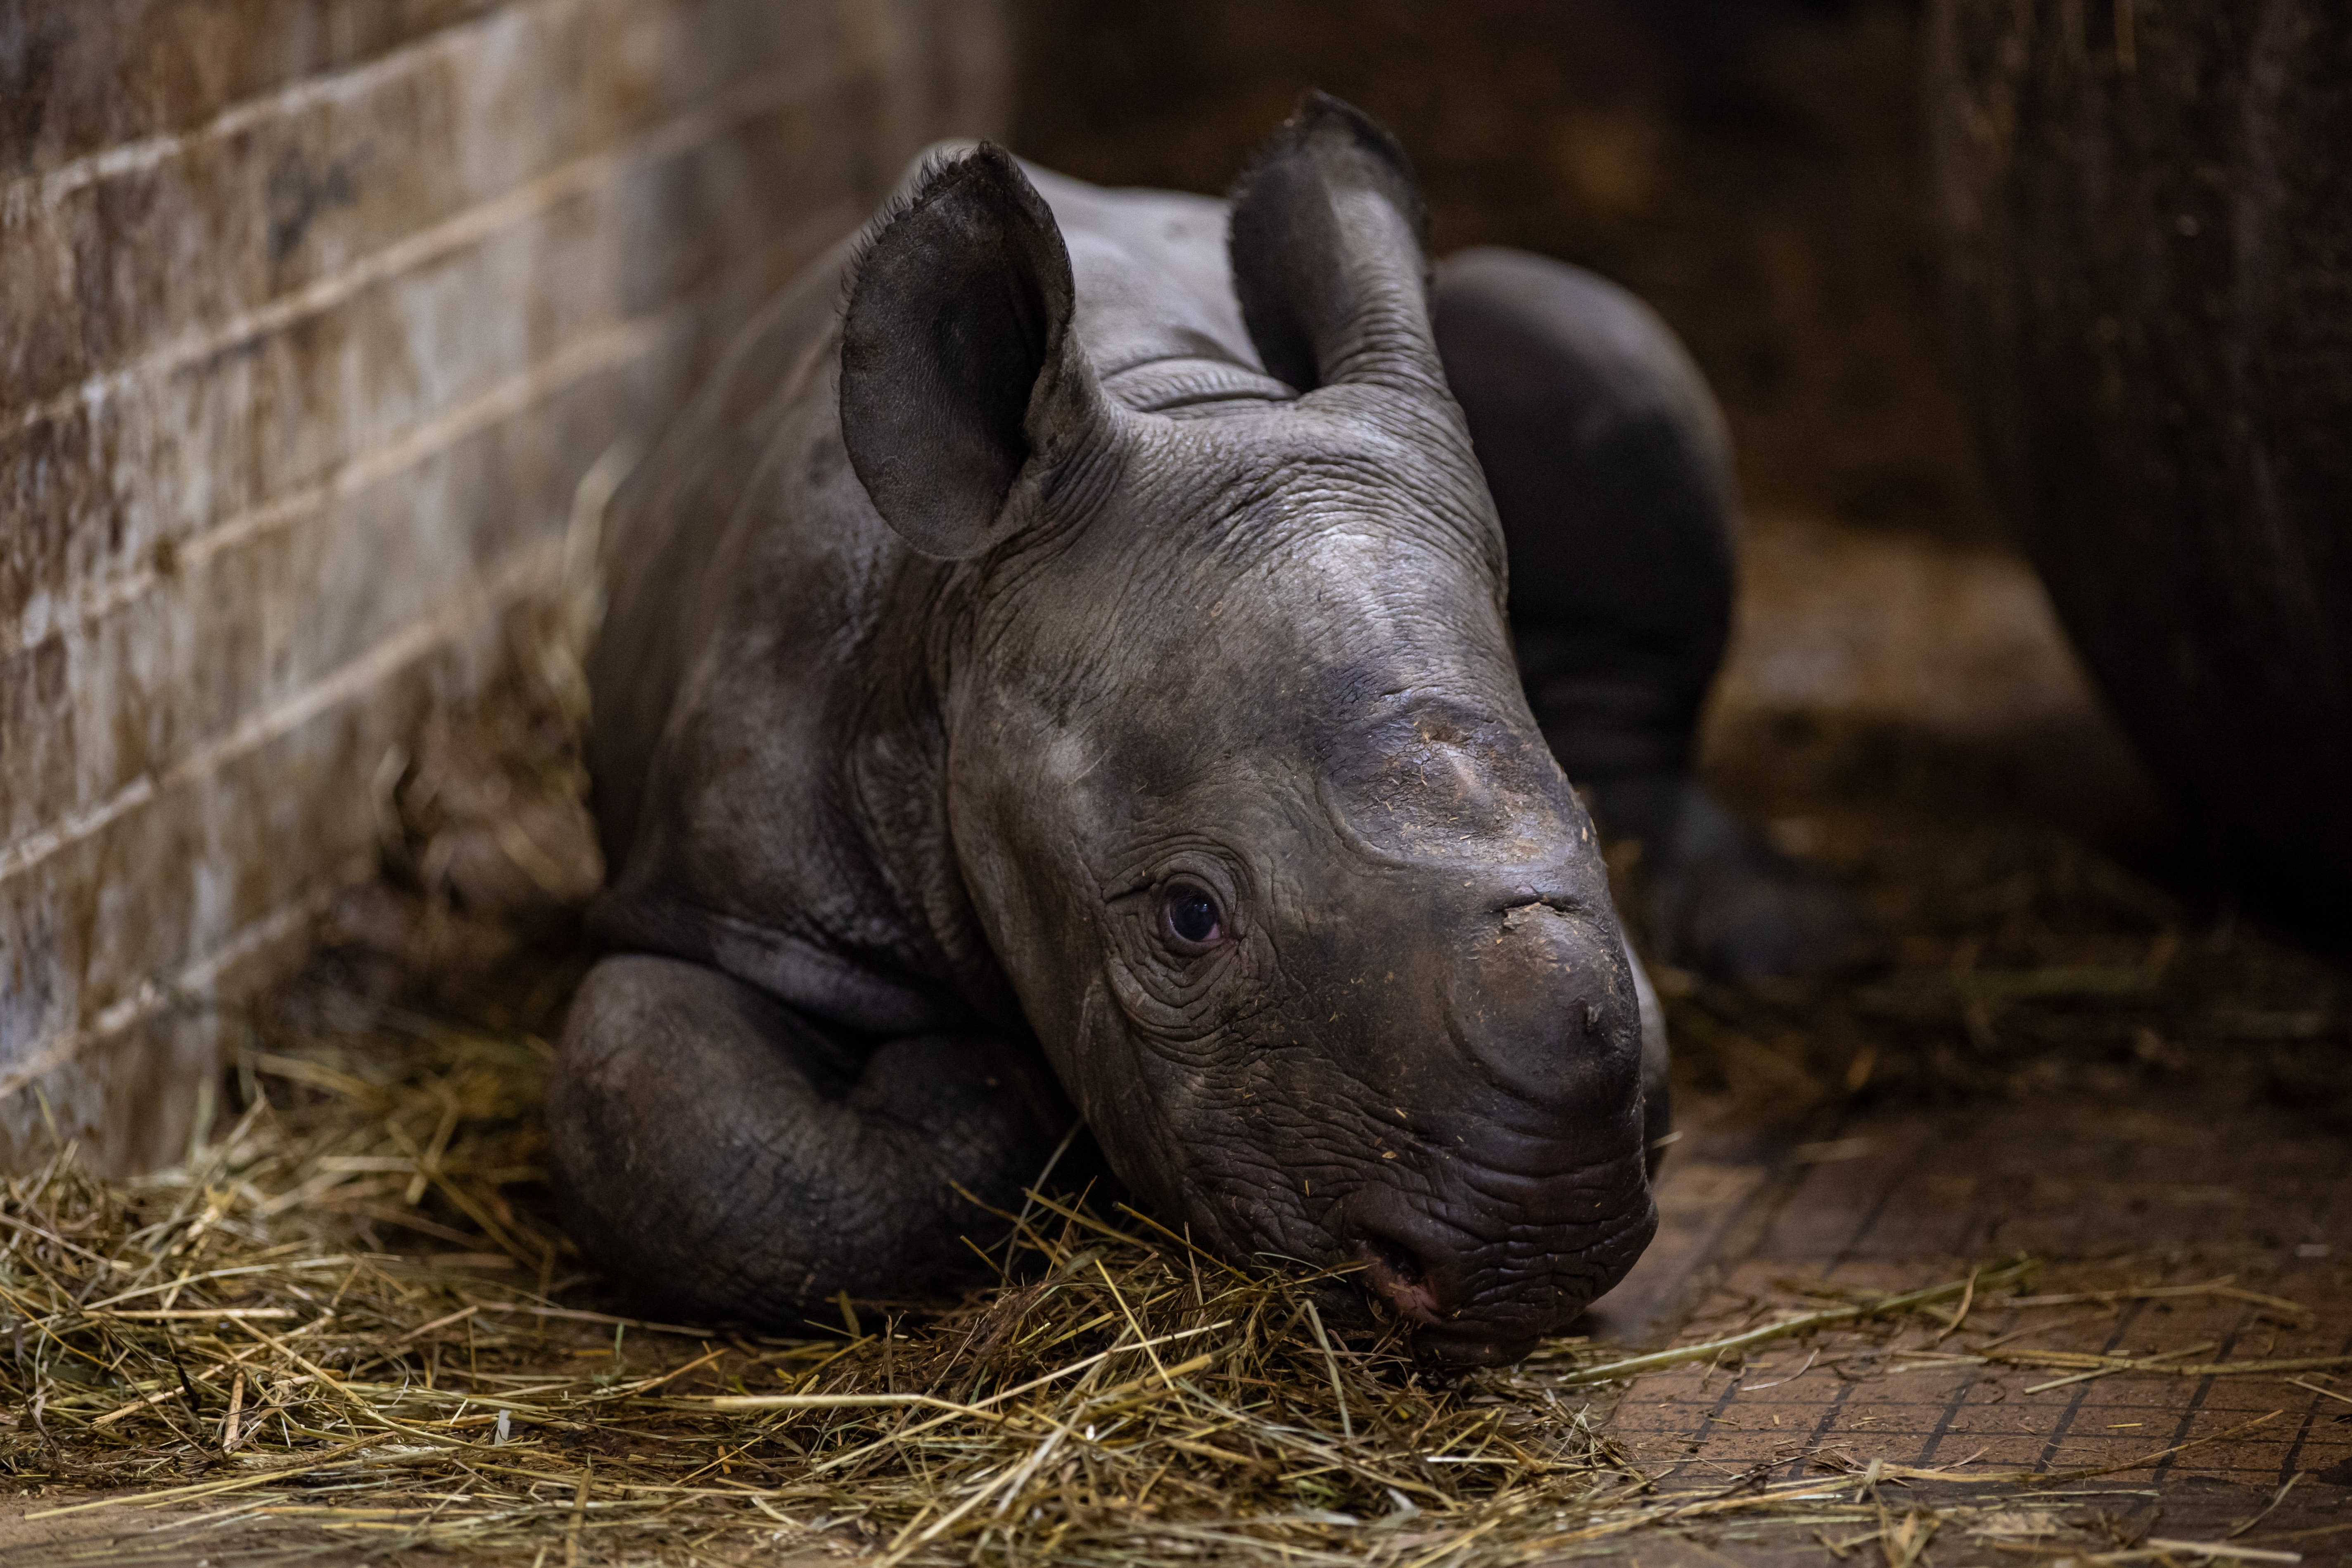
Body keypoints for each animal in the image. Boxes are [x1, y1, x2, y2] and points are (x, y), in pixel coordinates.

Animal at [552, 97, 1837, 1365]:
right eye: (1187, 918)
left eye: (1580, 826)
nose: (1536, 1262)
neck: (1176, 386)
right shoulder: (736, 908)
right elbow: (728, 1163)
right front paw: (992, 1086)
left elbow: (1630, 1040)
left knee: (1575, 332)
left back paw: (1777, 938)